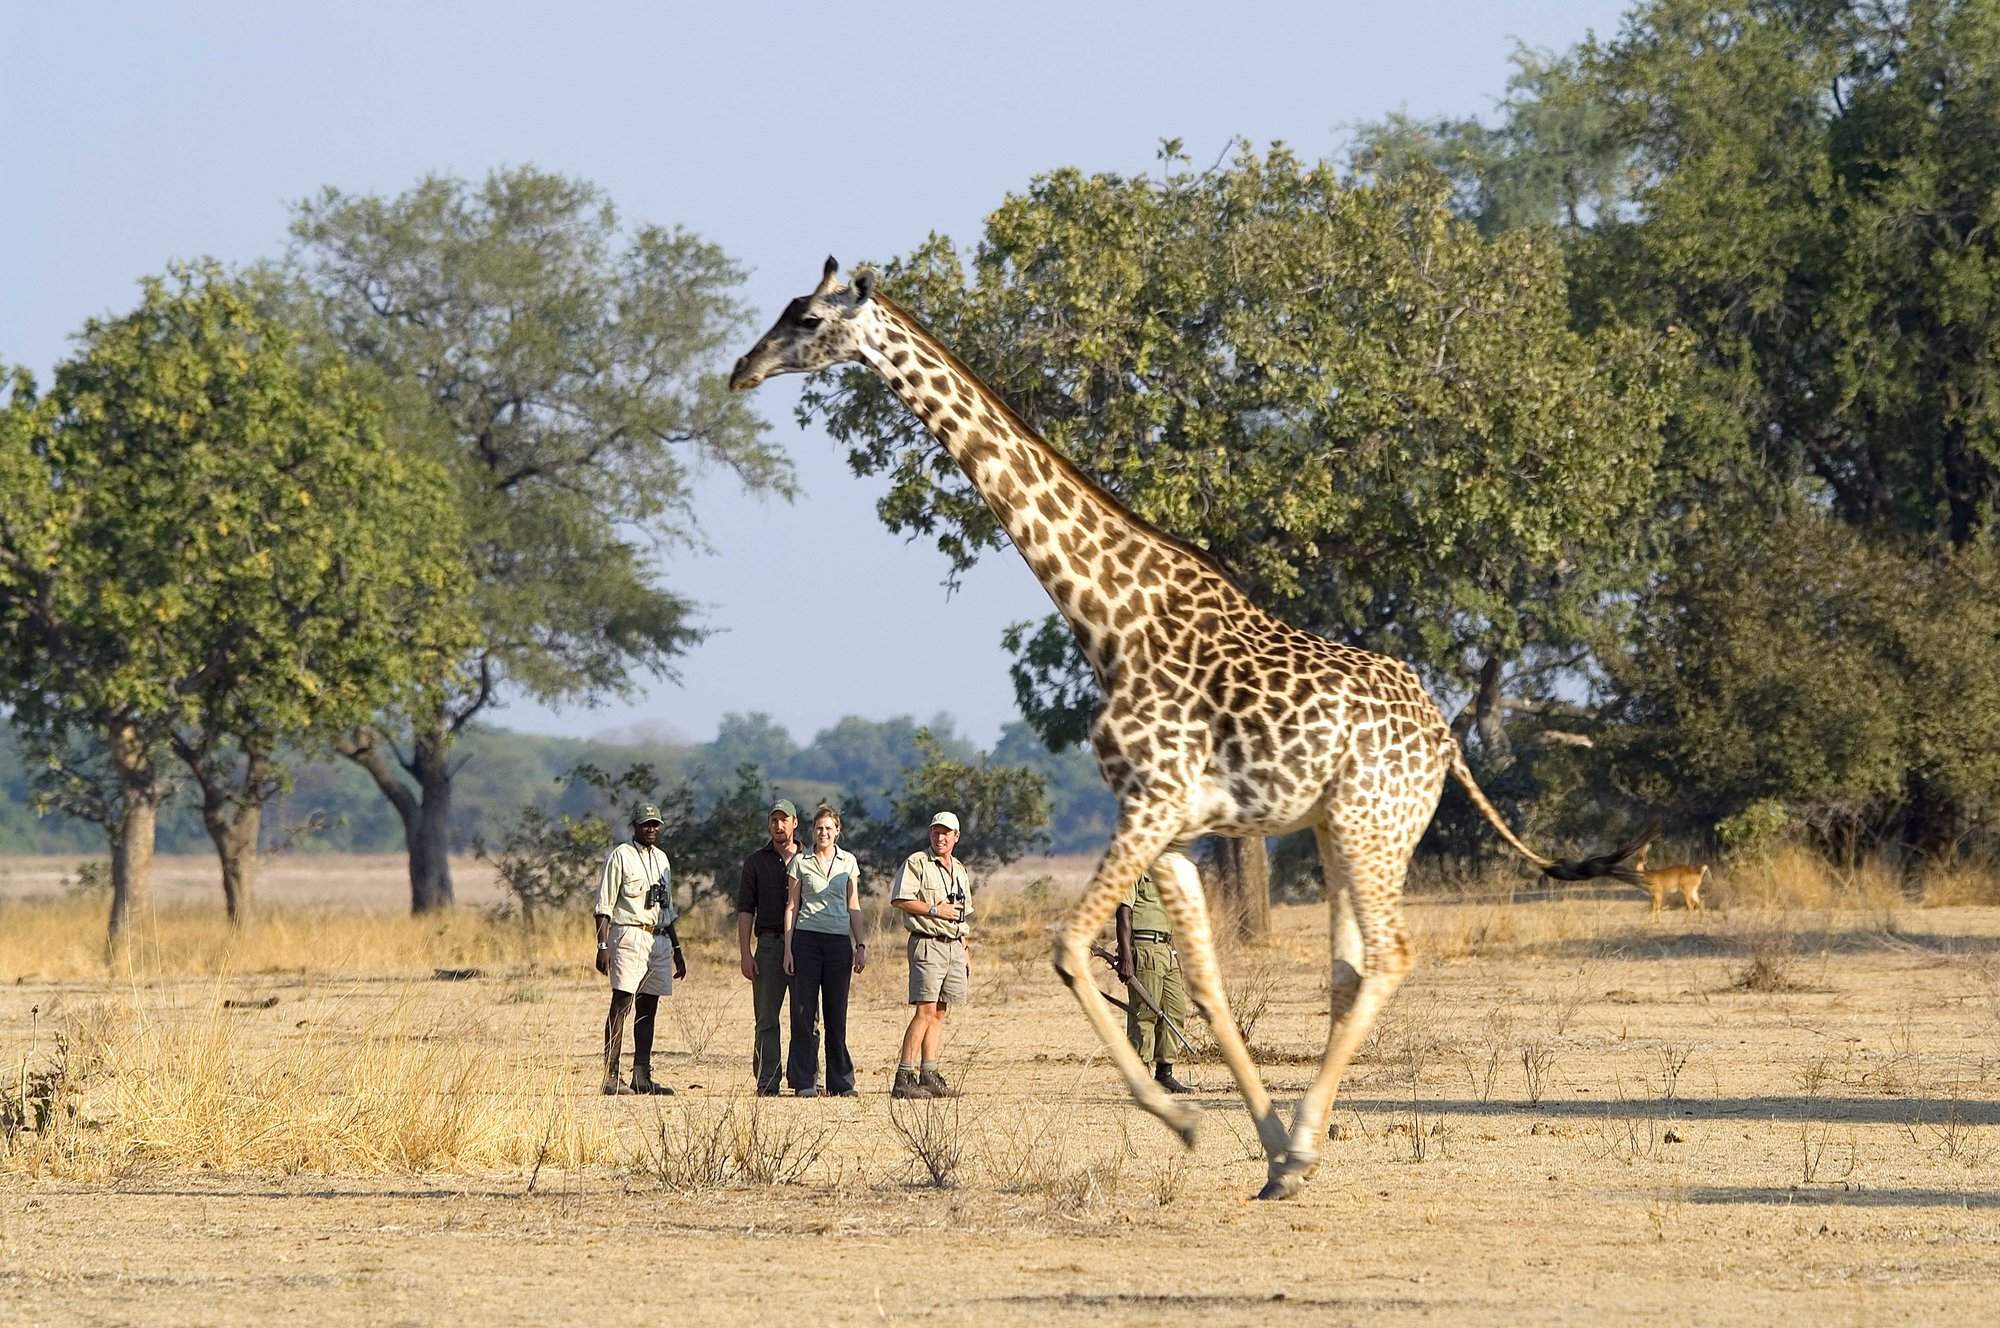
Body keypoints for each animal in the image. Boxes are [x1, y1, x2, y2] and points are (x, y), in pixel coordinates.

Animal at [728, 256, 1648, 1192]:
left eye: (807, 319)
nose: (741, 370)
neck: (1110, 618)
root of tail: (1447, 738)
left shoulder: (1151, 801)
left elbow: (1069, 949)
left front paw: (1185, 1120)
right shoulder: (1173, 826)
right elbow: (1201, 980)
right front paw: (1263, 1143)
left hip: (1373, 823)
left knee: (1389, 956)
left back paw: (1305, 1143)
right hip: (1338, 827)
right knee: (1350, 968)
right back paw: (1301, 1148)